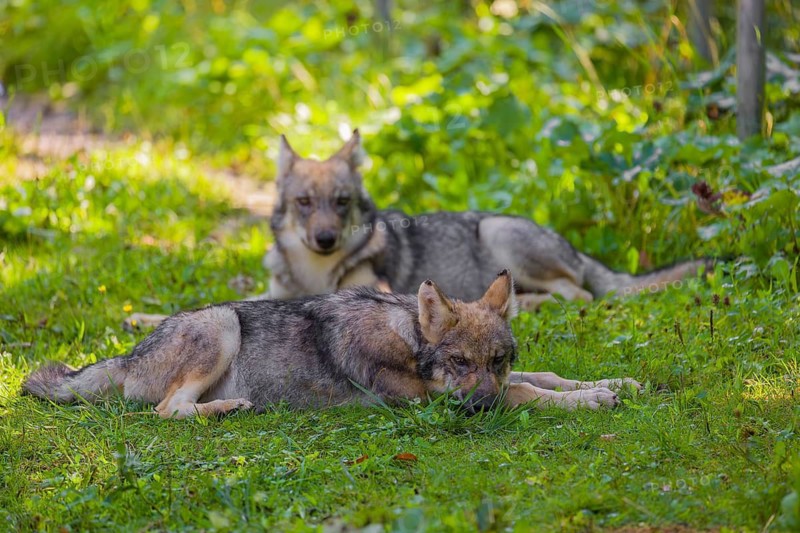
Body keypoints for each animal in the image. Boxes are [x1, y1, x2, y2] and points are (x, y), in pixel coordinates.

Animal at [265, 130, 710, 308]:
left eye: (341, 202)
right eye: (304, 202)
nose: (325, 239)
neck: (316, 272)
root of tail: (574, 247)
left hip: (498, 233)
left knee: (576, 295)